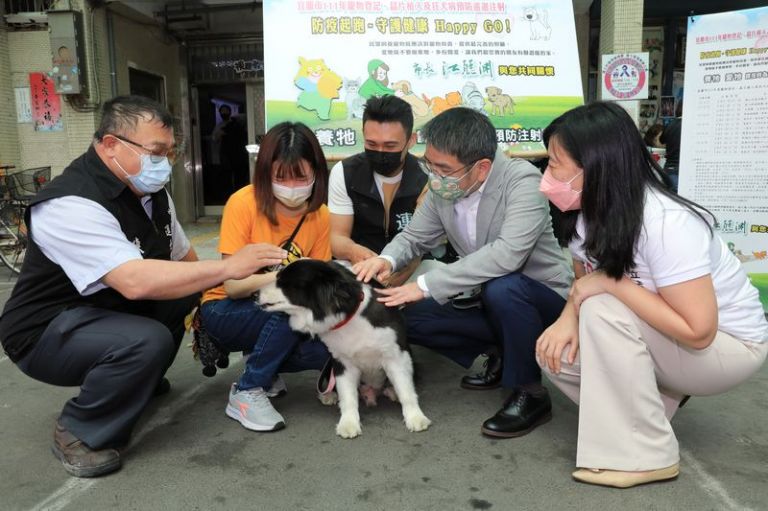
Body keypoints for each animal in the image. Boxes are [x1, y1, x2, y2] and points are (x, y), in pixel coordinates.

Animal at [255, 262, 428, 438]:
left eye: (284, 283)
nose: (255, 294)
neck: (351, 318)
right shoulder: (342, 362)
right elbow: (347, 396)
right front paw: (348, 423)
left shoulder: (396, 356)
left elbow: (406, 390)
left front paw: (415, 418)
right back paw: (327, 394)